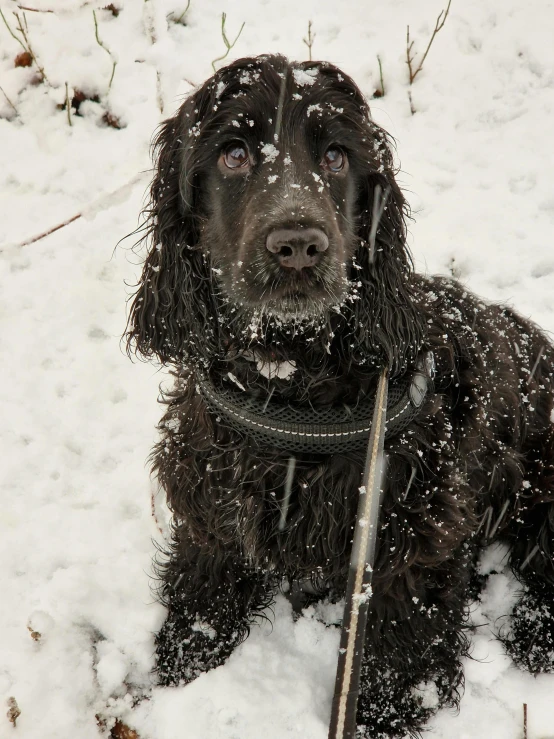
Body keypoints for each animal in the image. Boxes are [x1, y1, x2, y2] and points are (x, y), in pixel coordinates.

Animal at [125, 55, 552, 736]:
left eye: (334, 157)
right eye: (234, 153)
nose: (299, 245)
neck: (290, 387)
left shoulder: (408, 530)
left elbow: (400, 638)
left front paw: (384, 715)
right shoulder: (211, 501)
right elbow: (202, 588)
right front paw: (180, 664)